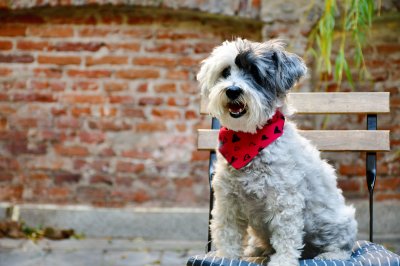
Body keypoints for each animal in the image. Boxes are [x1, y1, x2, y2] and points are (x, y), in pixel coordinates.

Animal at [198, 38, 358, 266]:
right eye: (225, 72)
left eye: (255, 73)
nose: (233, 90)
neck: (249, 140)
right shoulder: (228, 200)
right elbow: (228, 232)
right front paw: (227, 257)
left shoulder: (284, 200)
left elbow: (286, 235)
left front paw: (282, 260)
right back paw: (256, 249)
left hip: (337, 223)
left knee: (342, 246)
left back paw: (330, 254)